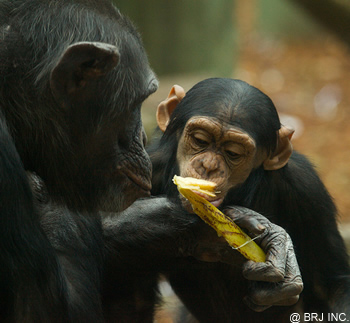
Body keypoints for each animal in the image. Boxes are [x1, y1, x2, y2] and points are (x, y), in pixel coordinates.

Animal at [149, 78, 350, 322]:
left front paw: (275, 241)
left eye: (233, 153)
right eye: (200, 140)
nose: (209, 166)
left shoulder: (308, 189)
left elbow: (334, 285)